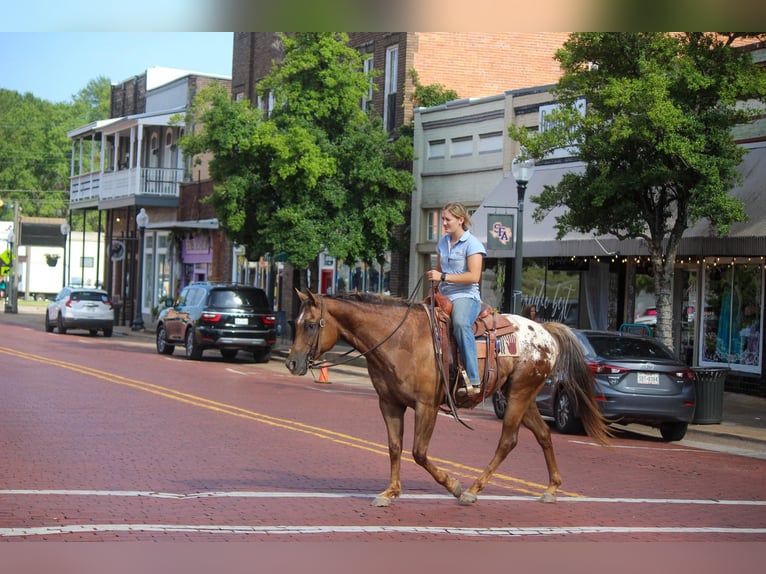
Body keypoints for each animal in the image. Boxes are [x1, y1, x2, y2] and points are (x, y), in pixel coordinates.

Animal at [284, 292, 612, 508]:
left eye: (310, 324)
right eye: (294, 323)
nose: (291, 363)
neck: (400, 340)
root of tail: (545, 330)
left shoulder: (426, 405)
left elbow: (418, 452)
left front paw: (454, 486)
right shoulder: (389, 403)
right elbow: (394, 448)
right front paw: (390, 492)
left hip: (519, 394)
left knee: (508, 441)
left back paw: (472, 490)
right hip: (521, 395)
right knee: (544, 434)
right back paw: (552, 489)